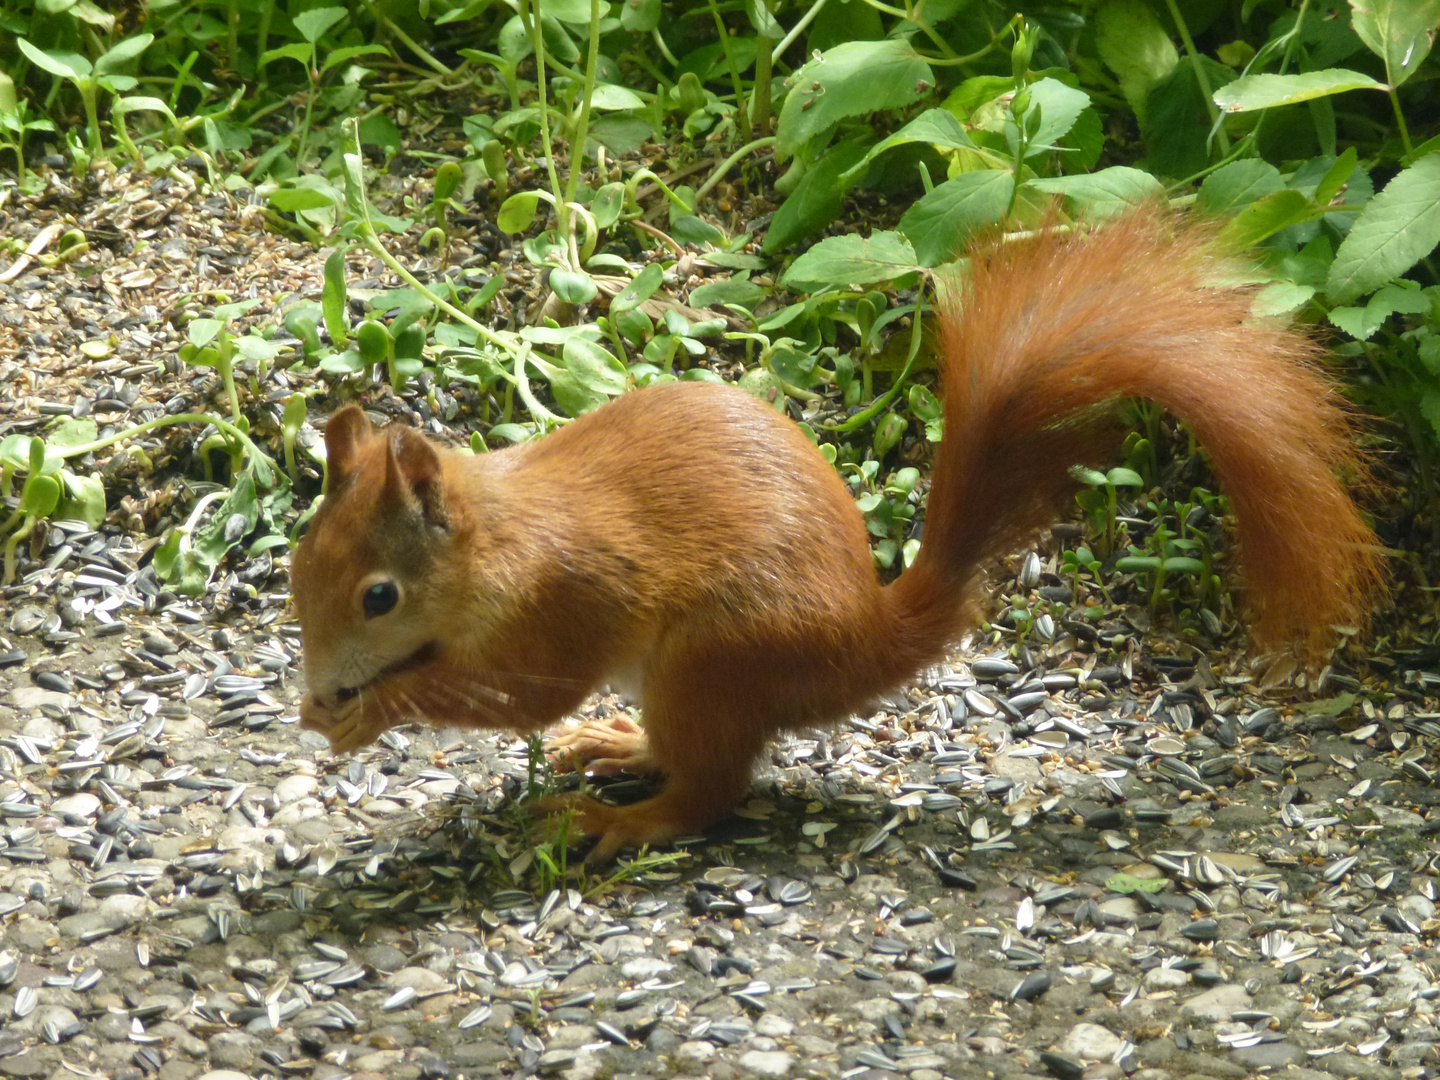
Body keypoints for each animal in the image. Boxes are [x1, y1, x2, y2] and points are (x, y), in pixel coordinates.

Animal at [289, 213, 1382, 864]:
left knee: (711, 791)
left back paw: (622, 819)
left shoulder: (564, 602)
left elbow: (519, 693)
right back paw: (615, 742)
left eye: (379, 596)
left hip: (713, 659)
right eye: (299, 568)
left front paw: (365, 710)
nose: (313, 693)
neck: (495, 545)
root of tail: (859, 641)